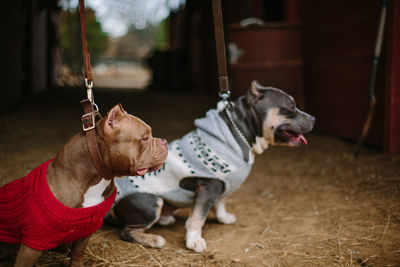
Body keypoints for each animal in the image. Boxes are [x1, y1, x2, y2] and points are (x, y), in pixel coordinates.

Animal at [0, 105, 167, 267]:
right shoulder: (33, 243)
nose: (164, 141)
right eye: (145, 138)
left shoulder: (86, 231)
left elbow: (77, 254)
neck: (97, 179)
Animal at [109, 81, 316, 253]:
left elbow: (220, 203)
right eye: (291, 106)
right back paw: (152, 239)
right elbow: (198, 217)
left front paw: (223, 217)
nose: (313, 118)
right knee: (127, 232)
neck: (239, 132)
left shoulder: (221, 184)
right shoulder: (208, 187)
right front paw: (194, 241)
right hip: (151, 202)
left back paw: (165, 219)